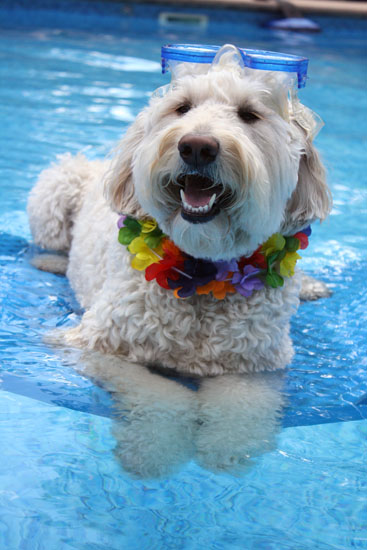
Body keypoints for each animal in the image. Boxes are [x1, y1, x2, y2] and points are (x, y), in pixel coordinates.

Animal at [28, 48, 334, 478]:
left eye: (249, 115)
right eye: (182, 107)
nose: (197, 147)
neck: (202, 274)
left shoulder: (257, 367)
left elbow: (241, 408)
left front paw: (228, 447)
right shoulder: (96, 347)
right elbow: (161, 393)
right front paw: (156, 446)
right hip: (56, 189)